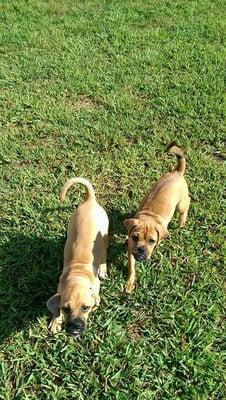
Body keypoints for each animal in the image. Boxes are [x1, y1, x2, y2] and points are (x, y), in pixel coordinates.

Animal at [46, 178, 108, 338]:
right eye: (66, 309)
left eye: (85, 307)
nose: (75, 327)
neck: (77, 275)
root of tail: (90, 201)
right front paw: (56, 321)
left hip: (104, 235)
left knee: (104, 252)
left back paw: (103, 268)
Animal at [123, 144, 191, 294]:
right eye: (135, 237)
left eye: (151, 241)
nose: (141, 250)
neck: (149, 218)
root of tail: (177, 172)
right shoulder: (131, 250)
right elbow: (132, 268)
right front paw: (129, 283)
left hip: (180, 205)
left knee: (186, 204)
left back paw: (181, 222)